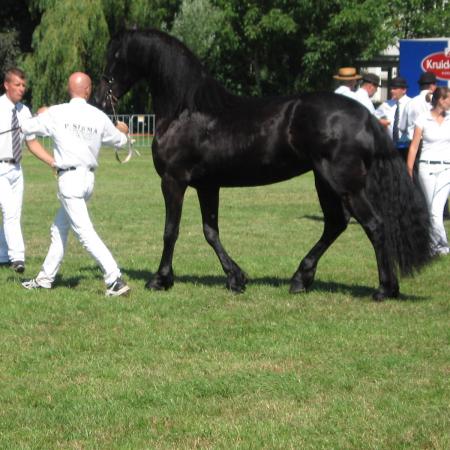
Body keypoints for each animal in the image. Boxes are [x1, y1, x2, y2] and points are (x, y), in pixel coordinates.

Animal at [94, 29, 432, 300]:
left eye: (116, 56)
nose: (99, 99)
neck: (187, 110)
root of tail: (364, 115)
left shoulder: (174, 181)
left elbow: (170, 230)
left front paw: (160, 279)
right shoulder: (207, 185)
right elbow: (210, 231)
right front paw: (235, 278)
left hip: (343, 183)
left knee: (374, 225)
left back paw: (384, 289)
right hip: (323, 181)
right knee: (336, 224)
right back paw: (301, 279)